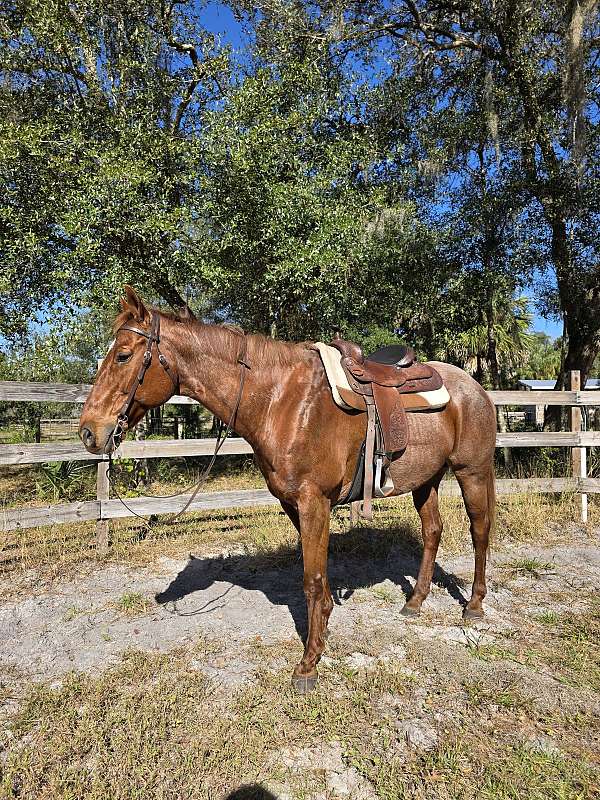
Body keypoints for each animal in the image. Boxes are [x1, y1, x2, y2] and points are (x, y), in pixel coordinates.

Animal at [79, 286, 496, 693]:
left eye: (123, 355)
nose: (88, 432)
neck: (283, 402)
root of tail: (474, 386)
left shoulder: (315, 502)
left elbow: (311, 580)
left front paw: (309, 664)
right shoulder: (293, 504)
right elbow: (316, 578)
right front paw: (322, 634)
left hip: (472, 471)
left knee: (479, 531)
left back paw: (474, 606)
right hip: (426, 480)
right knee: (432, 531)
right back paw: (415, 601)